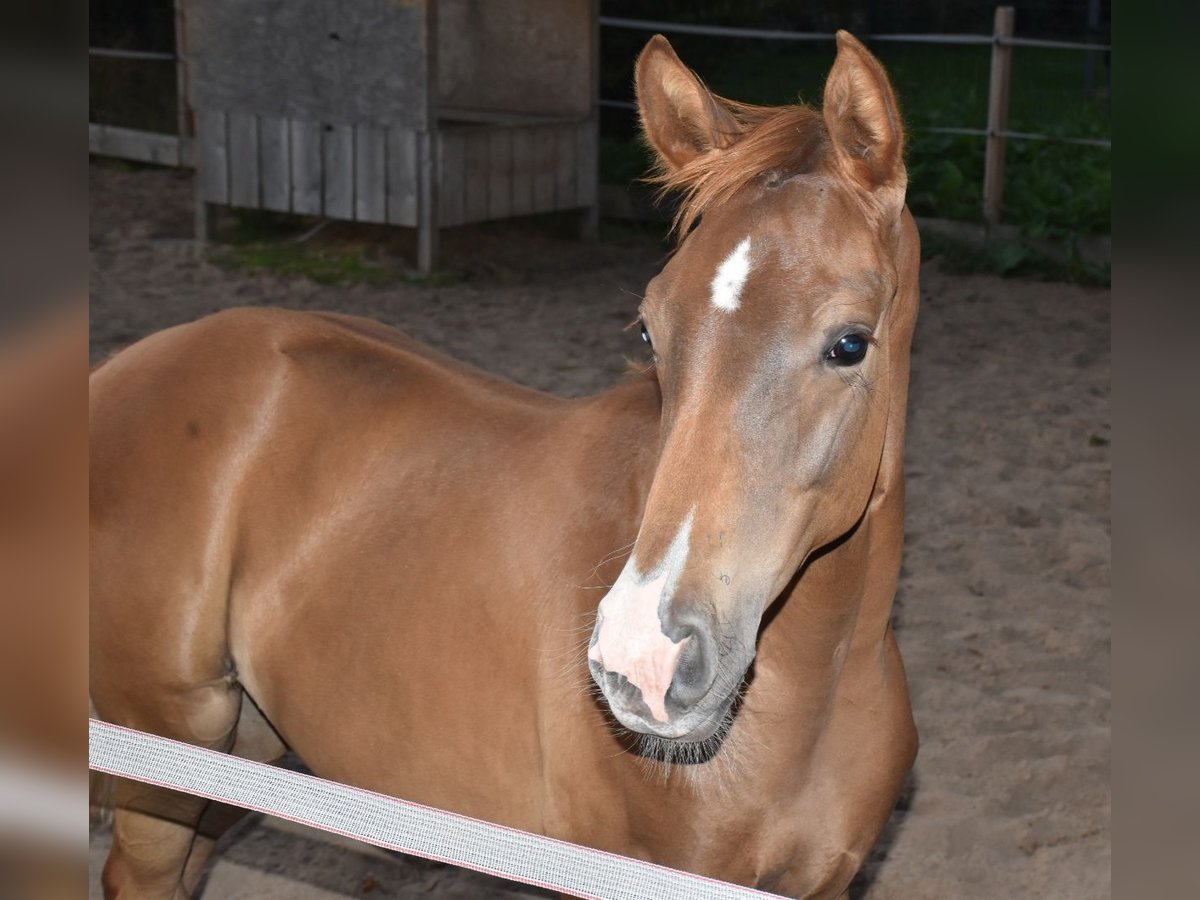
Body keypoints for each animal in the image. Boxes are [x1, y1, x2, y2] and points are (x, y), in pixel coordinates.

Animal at [91, 33, 916, 900]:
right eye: (649, 332)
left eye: (850, 343)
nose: (642, 659)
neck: (815, 689)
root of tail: (112, 371)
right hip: (164, 745)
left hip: (235, 755)